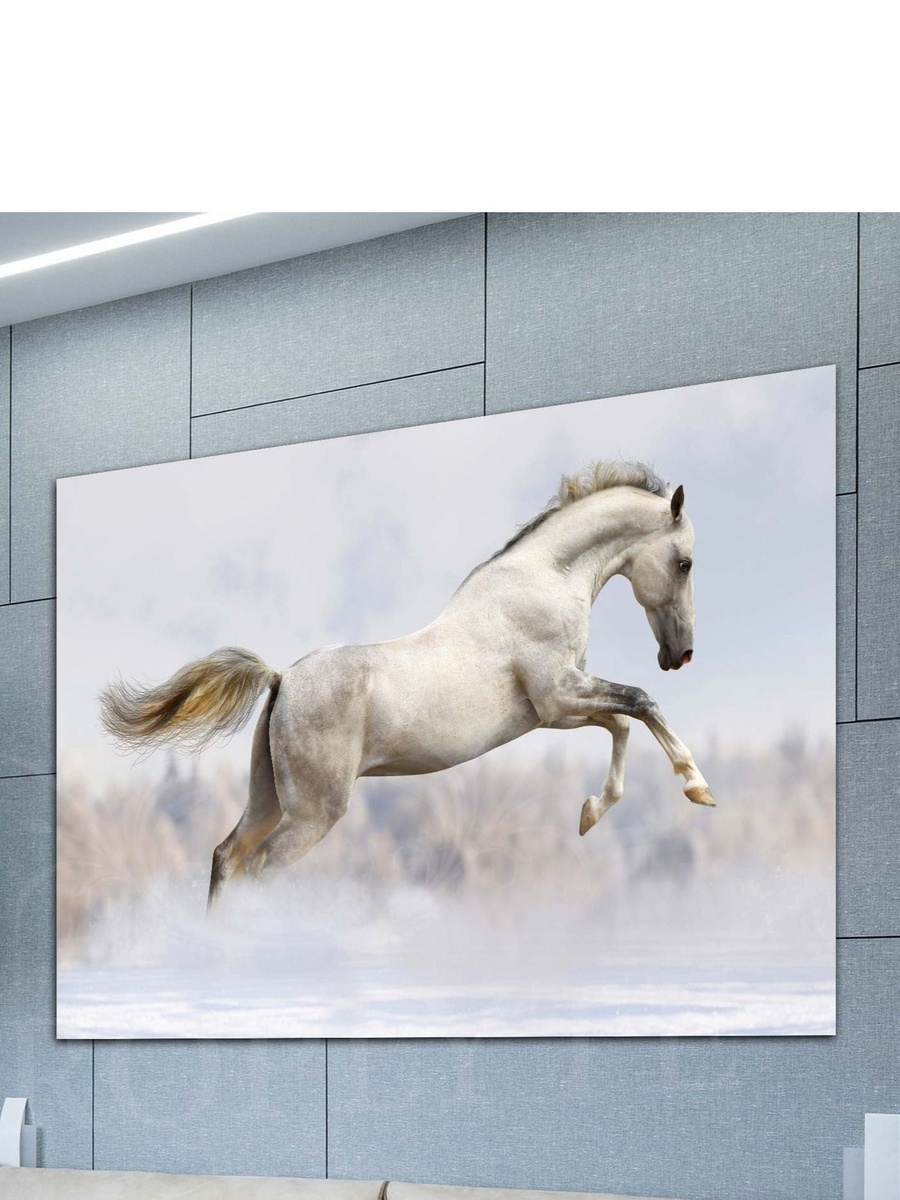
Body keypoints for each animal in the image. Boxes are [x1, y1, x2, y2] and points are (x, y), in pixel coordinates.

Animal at [99, 459, 715, 909]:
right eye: (685, 563)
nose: (680, 654)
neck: (543, 581)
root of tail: (281, 679)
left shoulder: (554, 711)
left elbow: (621, 723)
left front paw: (590, 813)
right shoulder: (558, 693)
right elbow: (640, 703)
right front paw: (698, 788)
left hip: (269, 799)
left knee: (226, 858)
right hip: (313, 814)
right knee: (258, 868)